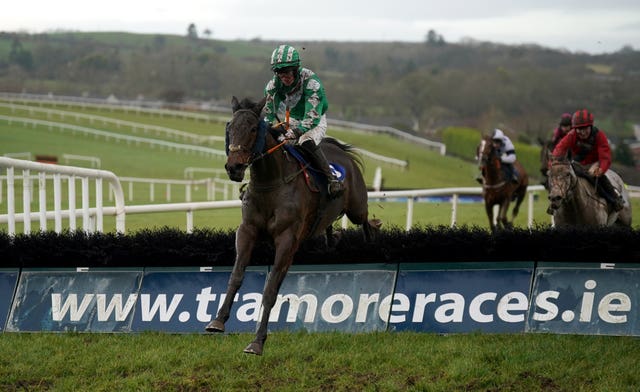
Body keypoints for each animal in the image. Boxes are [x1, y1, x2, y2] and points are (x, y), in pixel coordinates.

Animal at [204, 95, 380, 356]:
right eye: (229, 128)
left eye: (253, 129)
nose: (233, 167)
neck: (271, 182)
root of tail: (341, 152)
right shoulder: (247, 230)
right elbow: (236, 276)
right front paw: (217, 321)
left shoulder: (287, 239)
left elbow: (270, 290)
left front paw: (257, 342)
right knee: (330, 230)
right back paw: (333, 239)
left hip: (356, 207)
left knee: (366, 221)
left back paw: (371, 238)